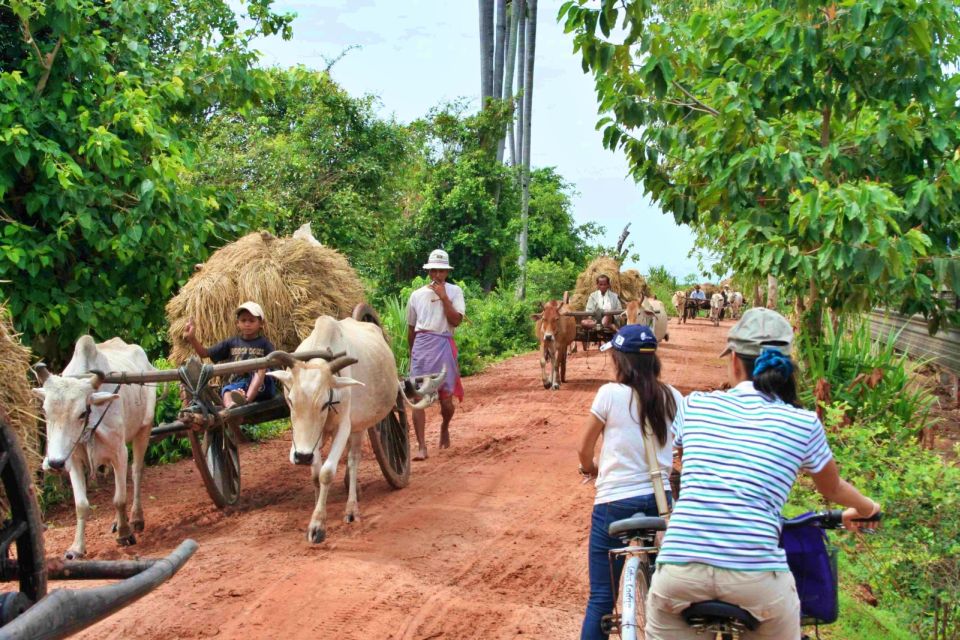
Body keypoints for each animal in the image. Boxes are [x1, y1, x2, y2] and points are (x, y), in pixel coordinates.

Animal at [31, 338, 157, 556]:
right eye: (45, 411)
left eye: (82, 413)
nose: (54, 463)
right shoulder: (73, 460)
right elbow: (81, 505)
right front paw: (76, 548)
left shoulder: (119, 453)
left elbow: (119, 499)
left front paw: (125, 534)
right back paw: (118, 521)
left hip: (144, 429)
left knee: (136, 472)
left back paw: (135, 519)